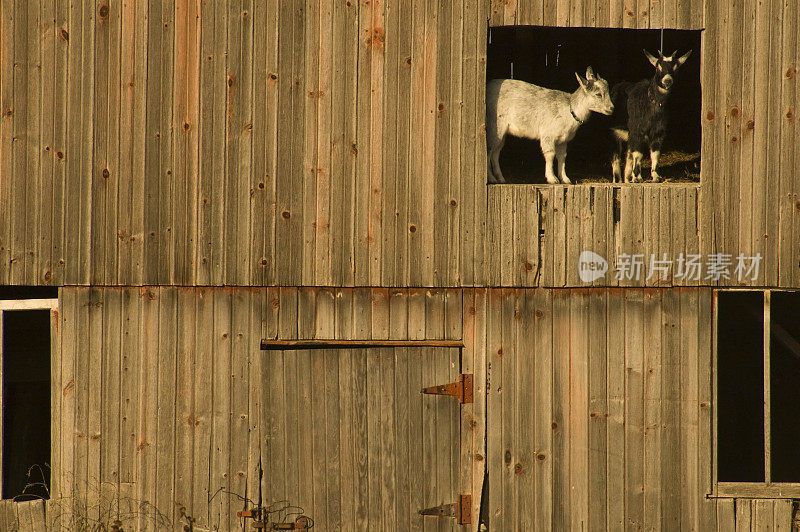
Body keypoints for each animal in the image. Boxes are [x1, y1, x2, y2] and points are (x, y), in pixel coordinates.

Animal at [608, 50, 692, 183]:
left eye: (676, 67)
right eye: (658, 67)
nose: (667, 81)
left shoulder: (658, 132)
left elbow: (655, 154)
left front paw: (656, 176)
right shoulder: (638, 131)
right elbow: (638, 154)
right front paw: (637, 178)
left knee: (628, 156)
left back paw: (628, 179)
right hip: (613, 132)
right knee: (615, 157)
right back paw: (618, 180)